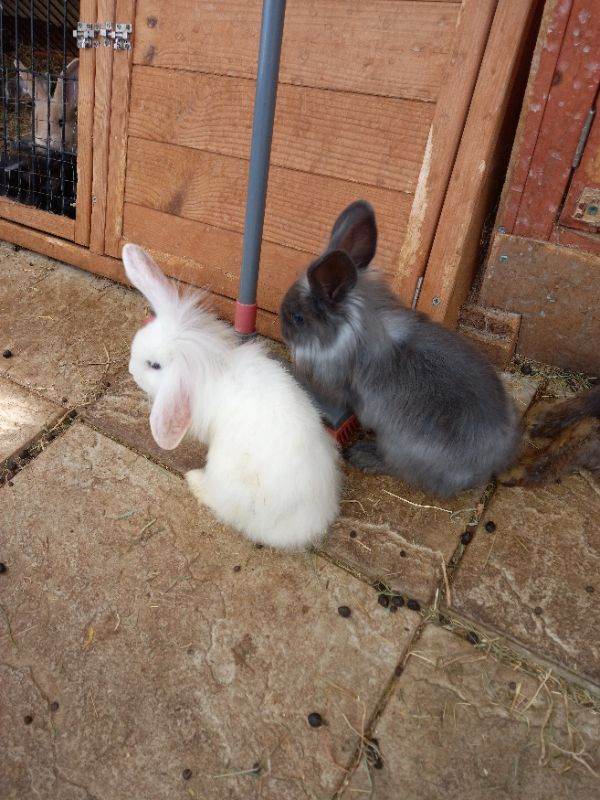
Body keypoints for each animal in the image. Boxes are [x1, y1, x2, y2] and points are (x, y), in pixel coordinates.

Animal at [279, 200, 521, 498]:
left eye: (298, 317)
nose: (283, 331)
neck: (353, 329)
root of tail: (494, 460)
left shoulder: (337, 385)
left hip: (399, 444)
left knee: (398, 467)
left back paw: (363, 455)